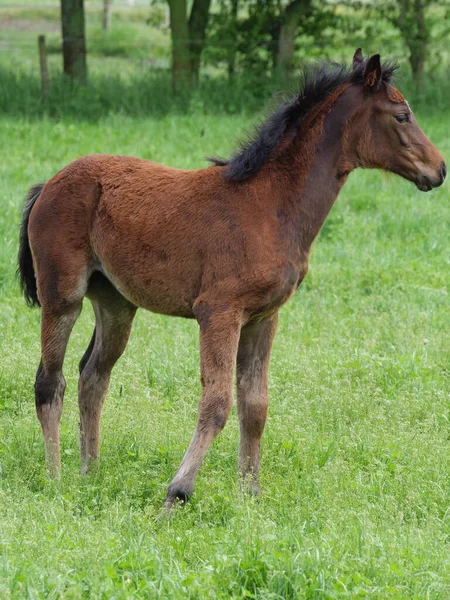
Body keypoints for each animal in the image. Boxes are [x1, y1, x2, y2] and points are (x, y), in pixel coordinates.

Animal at [18, 51, 446, 508]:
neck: (271, 205)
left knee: (93, 377)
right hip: (63, 294)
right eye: (402, 115)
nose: (439, 169)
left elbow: (255, 405)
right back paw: (56, 478)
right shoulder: (219, 312)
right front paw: (177, 494)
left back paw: (91, 474)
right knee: (50, 382)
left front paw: (250, 495)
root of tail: (48, 184)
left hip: (116, 303)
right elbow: (217, 402)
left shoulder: (263, 317)